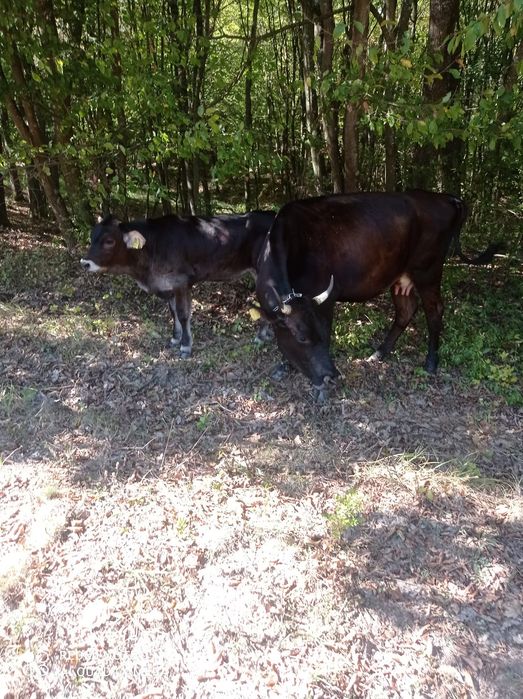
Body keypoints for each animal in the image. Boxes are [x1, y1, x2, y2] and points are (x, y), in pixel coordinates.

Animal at [81, 210, 276, 357]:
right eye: (91, 237)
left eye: (109, 241)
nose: (85, 263)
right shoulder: (168, 285)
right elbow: (173, 312)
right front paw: (175, 338)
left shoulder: (181, 282)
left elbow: (182, 314)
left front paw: (185, 345)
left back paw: (260, 336)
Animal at [255, 190, 500, 400]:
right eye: (301, 338)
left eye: (320, 336)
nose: (330, 376)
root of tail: (445, 197)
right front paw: (284, 366)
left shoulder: (326, 300)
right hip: (400, 276)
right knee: (406, 310)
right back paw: (379, 353)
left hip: (428, 270)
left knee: (434, 310)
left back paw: (430, 362)